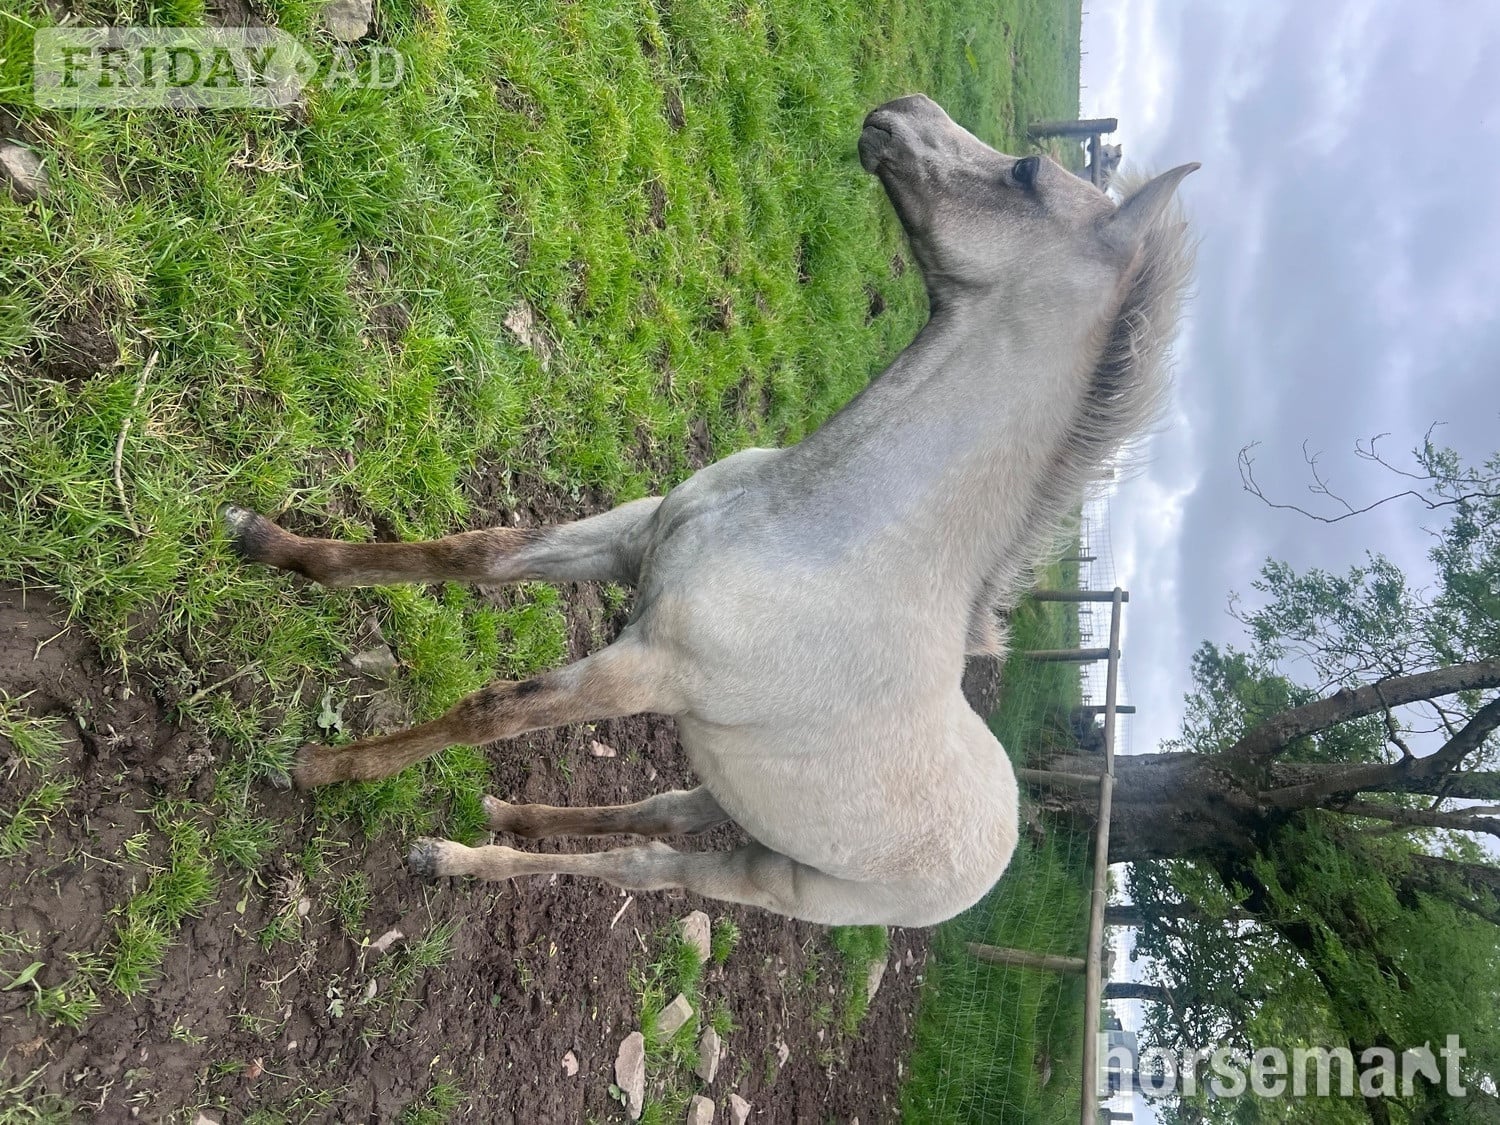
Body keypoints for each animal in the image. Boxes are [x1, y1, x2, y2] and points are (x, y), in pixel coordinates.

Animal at [222, 94, 1196, 926]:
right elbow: (478, 552)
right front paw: (265, 541)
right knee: (656, 812)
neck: (814, 529)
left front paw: (324, 768)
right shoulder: (632, 535)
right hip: (731, 795)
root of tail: (1000, 844)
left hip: (774, 875)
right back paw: (504, 814)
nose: (900, 110)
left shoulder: (647, 668)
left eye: (1027, 172)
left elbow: (492, 707)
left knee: (647, 868)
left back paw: (454, 858)